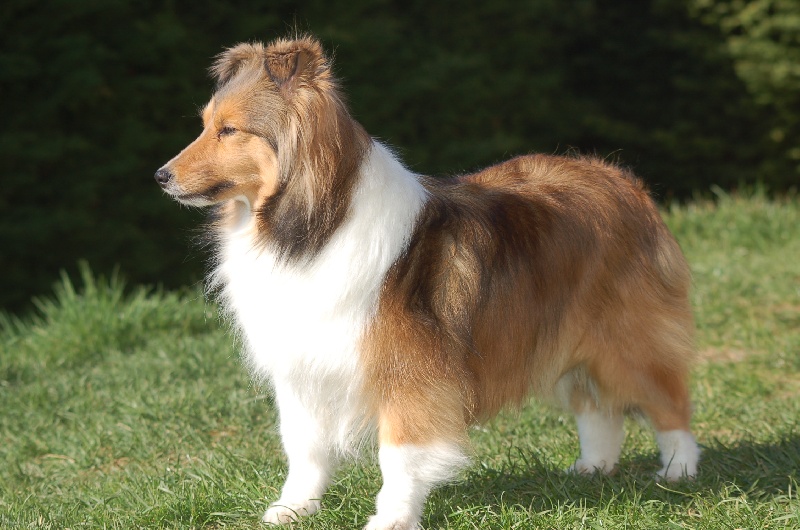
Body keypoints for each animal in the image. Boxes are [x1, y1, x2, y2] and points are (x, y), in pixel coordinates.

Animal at [155, 35, 700, 524]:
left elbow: (398, 457)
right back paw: (593, 466)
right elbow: (305, 450)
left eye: (230, 130)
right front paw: (292, 510)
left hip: (624, 339)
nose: (160, 175)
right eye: (205, 126)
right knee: (599, 407)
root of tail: (623, 179)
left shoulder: (410, 375)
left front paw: (392, 518)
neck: (315, 225)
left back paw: (678, 470)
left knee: (667, 400)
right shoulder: (304, 370)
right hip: (568, 338)